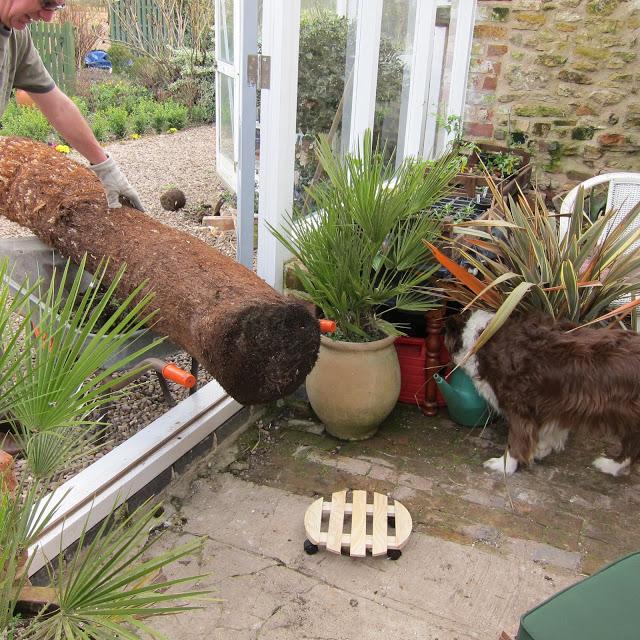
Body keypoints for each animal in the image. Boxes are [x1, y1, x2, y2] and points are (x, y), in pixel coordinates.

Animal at [444, 310, 640, 476]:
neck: (484, 337)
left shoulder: (519, 403)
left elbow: (517, 438)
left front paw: (505, 465)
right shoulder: (554, 404)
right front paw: (541, 449)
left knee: (632, 443)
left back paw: (611, 466)